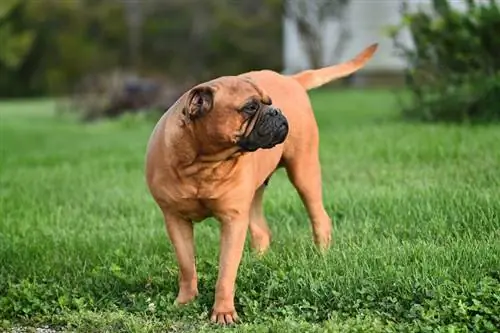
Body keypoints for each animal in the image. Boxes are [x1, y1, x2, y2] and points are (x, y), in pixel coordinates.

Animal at [145, 42, 378, 322]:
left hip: (304, 172)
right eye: (250, 107)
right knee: (261, 231)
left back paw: (322, 255)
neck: (203, 163)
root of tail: (291, 79)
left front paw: (223, 312)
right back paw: (258, 264)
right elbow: (187, 265)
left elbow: (226, 272)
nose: (277, 111)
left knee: (319, 217)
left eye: (269, 103)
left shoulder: (232, 220)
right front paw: (185, 302)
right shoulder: (175, 220)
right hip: (256, 193)